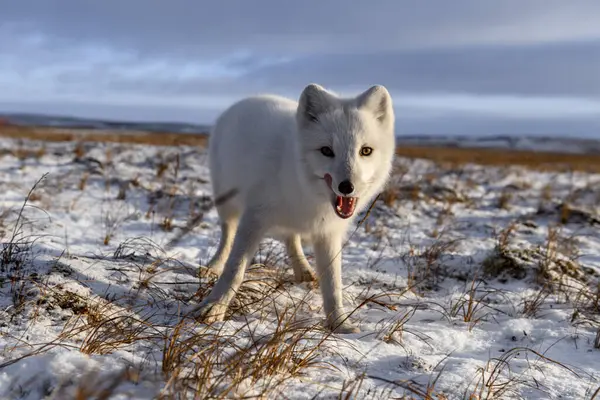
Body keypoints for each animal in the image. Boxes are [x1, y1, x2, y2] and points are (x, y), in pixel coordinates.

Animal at [195, 83, 396, 332]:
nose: (347, 187)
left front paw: (340, 324)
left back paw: (303, 269)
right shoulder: (254, 218)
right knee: (227, 235)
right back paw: (213, 265)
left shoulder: (329, 233)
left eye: (365, 151)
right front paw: (214, 306)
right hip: (226, 202)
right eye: (326, 151)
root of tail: (244, 101)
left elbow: (333, 284)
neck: (306, 192)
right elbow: (235, 269)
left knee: (292, 238)